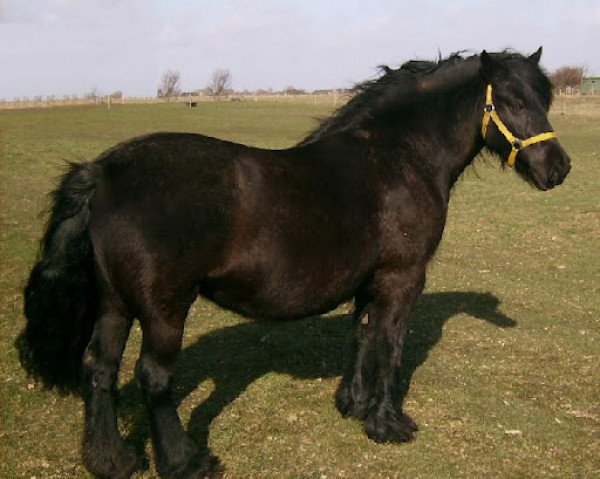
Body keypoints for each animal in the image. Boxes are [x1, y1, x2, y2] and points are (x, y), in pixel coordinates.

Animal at [16, 49, 572, 479]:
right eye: (514, 101)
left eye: (542, 99)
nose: (559, 168)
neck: (398, 158)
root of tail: (104, 172)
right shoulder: (402, 277)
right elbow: (390, 345)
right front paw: (388, 423)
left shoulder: (369, 280)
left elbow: (361, 336)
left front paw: (352, 404)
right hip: (163, 309)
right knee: (153, 377)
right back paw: (184, 461)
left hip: (114, 303)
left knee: (99, 370)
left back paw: (110, 460)